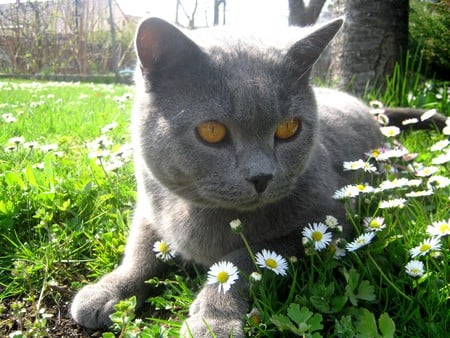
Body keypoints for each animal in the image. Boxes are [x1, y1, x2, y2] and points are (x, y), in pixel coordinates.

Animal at [71, 17, 384, 336]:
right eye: (212, 131)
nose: (262, 176)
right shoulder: (150, 206)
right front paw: (107, 291)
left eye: (289, 128)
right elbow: (140, 251)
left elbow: (245, 257)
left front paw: (213, 319)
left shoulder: (330, 221)